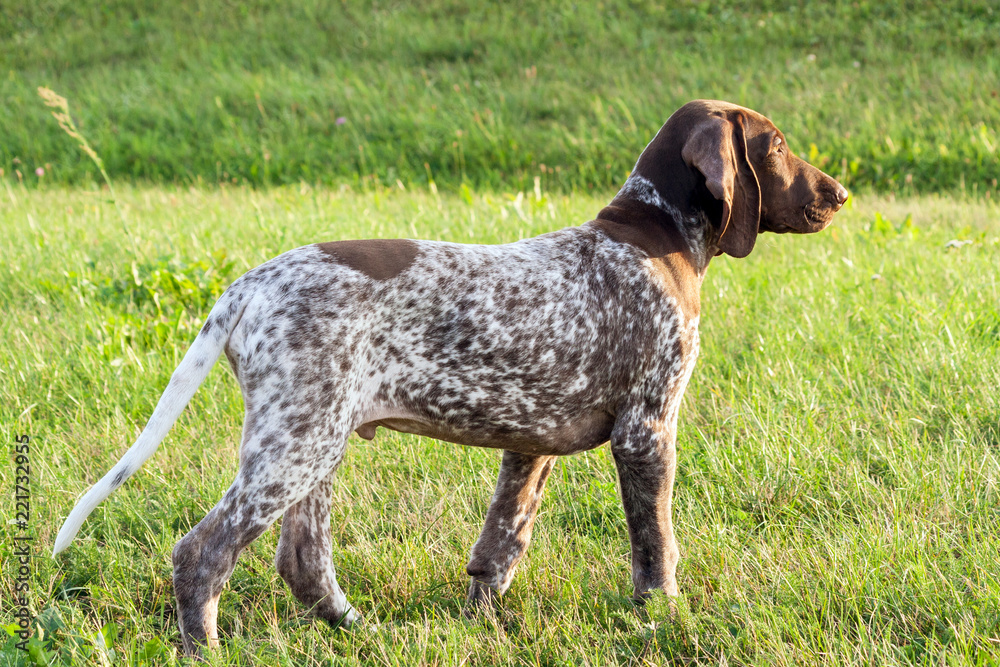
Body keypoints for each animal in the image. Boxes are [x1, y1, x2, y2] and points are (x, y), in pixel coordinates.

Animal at [54, 100, 848, 656]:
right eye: (775, 145)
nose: (839, 193)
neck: (651, 232)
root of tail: (248, 285)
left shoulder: (530, 446)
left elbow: (500, 543)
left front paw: (481, 622)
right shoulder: (647, 429)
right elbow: (655, 543)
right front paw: (663, 616)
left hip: (315, 437)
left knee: (302, 559)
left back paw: (358, 630)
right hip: (296, 446)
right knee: (203, 553)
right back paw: (206, 648)